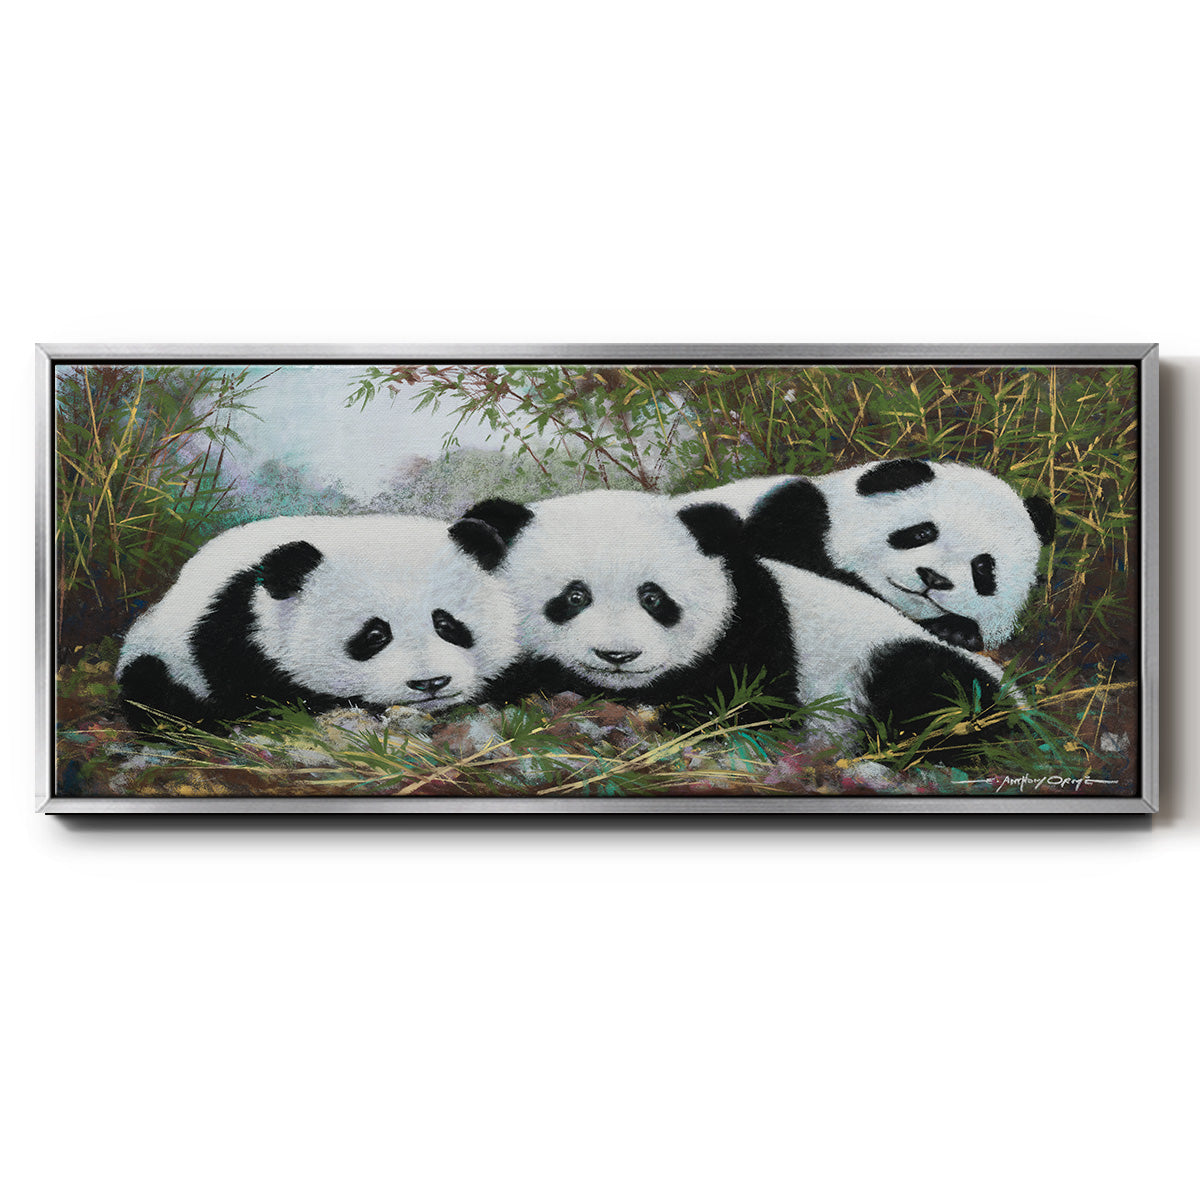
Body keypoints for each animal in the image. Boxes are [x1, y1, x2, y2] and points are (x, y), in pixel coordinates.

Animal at [115, 514, 519, 730]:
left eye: (446, 624)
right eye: (374, 635)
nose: (430, 683)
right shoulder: (233, 636)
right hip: (162, 655)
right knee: (153, 693)